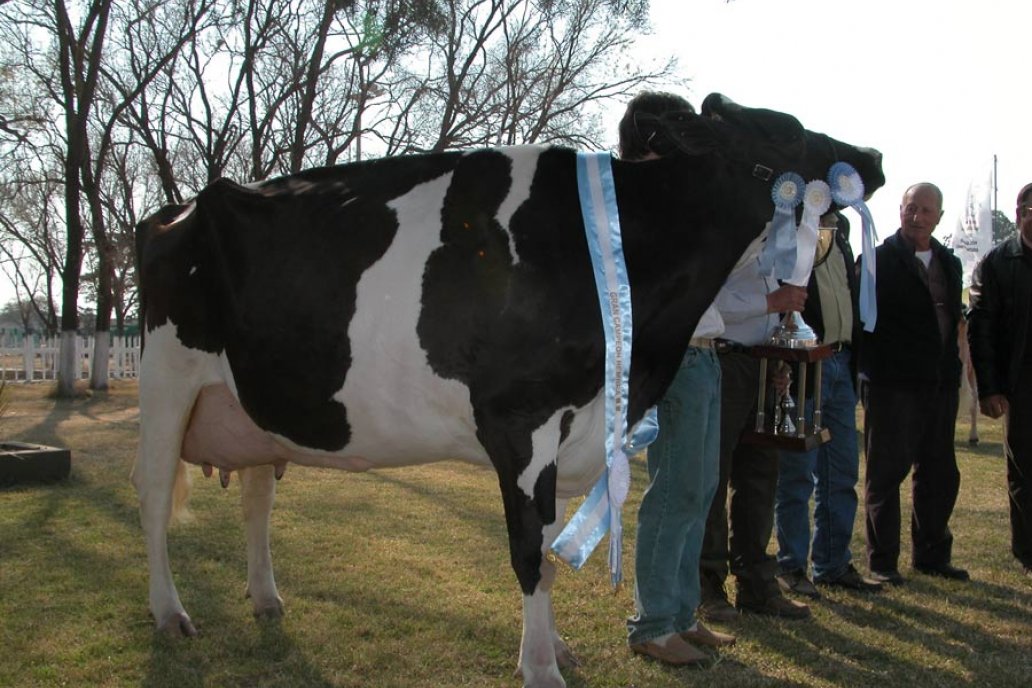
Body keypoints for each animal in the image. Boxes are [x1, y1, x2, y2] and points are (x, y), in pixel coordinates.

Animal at [133, 94, 883, 684]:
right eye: (788, 131)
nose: (872, 155)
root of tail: (178, 208)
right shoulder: (521, 419)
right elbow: (527, 552)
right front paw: (542, 667)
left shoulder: (568, 428)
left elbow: (548, 553)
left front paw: (556, 648)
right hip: (167, 383)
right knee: (154, 501)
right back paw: (170, 613)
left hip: (256, 407)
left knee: (255, 500)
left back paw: (265, 599)